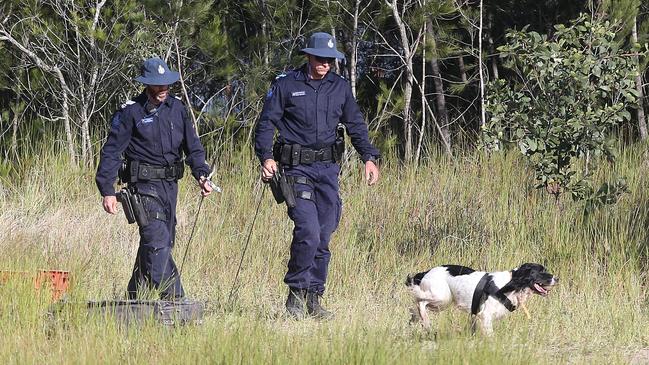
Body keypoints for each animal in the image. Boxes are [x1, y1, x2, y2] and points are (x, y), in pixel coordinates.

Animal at [404, 262, 556, 336]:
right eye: (541, 271)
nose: (557, 278)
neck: (510, 284)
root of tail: (426, 272)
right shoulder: (485, 315)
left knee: (416, 305)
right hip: (442, 298)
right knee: (420, 302)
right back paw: (426, 323)